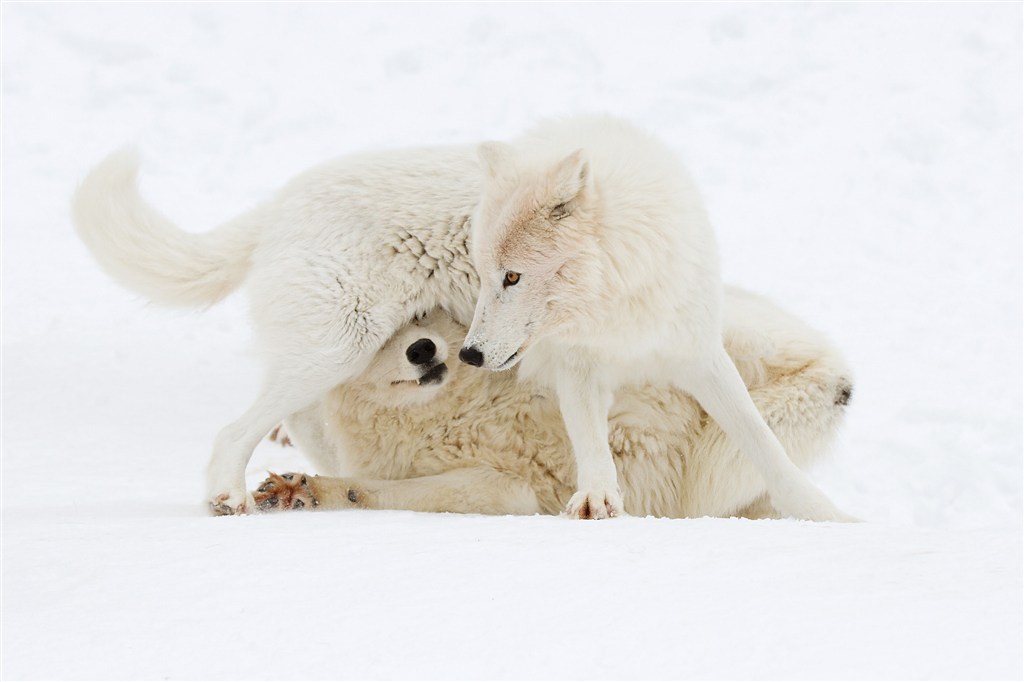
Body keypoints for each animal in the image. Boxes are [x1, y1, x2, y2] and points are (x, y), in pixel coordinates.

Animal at [251, 284, 851, 516]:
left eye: (420, 315)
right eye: (378, 337)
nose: (422, 350)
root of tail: (836, 372)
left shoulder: (510, 486)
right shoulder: (500, 486)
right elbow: (371, 487)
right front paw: (299, 489)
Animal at [460, 118, 851, 520]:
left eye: (512, 277)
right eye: (484, 275)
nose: (468, 354)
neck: (618, 307)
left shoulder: (700, 355)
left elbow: (760, 439)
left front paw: (822, 512)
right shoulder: (576, 364)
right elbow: (590, 441)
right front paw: (597, 496)